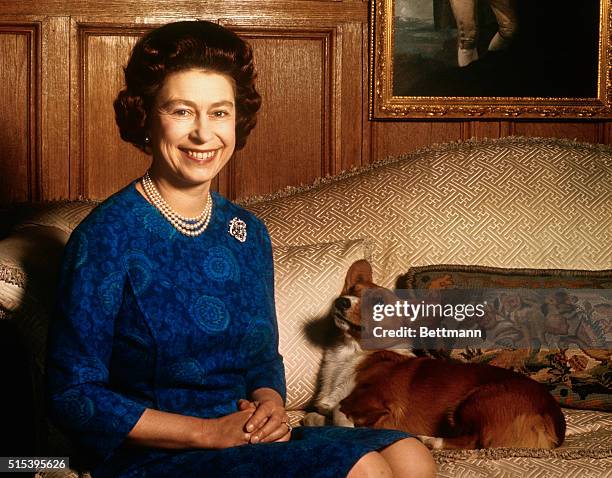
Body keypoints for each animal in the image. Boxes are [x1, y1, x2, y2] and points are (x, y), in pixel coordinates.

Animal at [304, 260, 568, 450]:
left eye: (379, 303)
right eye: (351, 290)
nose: (341, 302)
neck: (351, 352)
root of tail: (555, 421)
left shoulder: (380, 402)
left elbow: (339, 411)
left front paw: (351, 426)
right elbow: (315, 415)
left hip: (475, 400)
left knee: (475, 440)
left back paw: (430, 440)